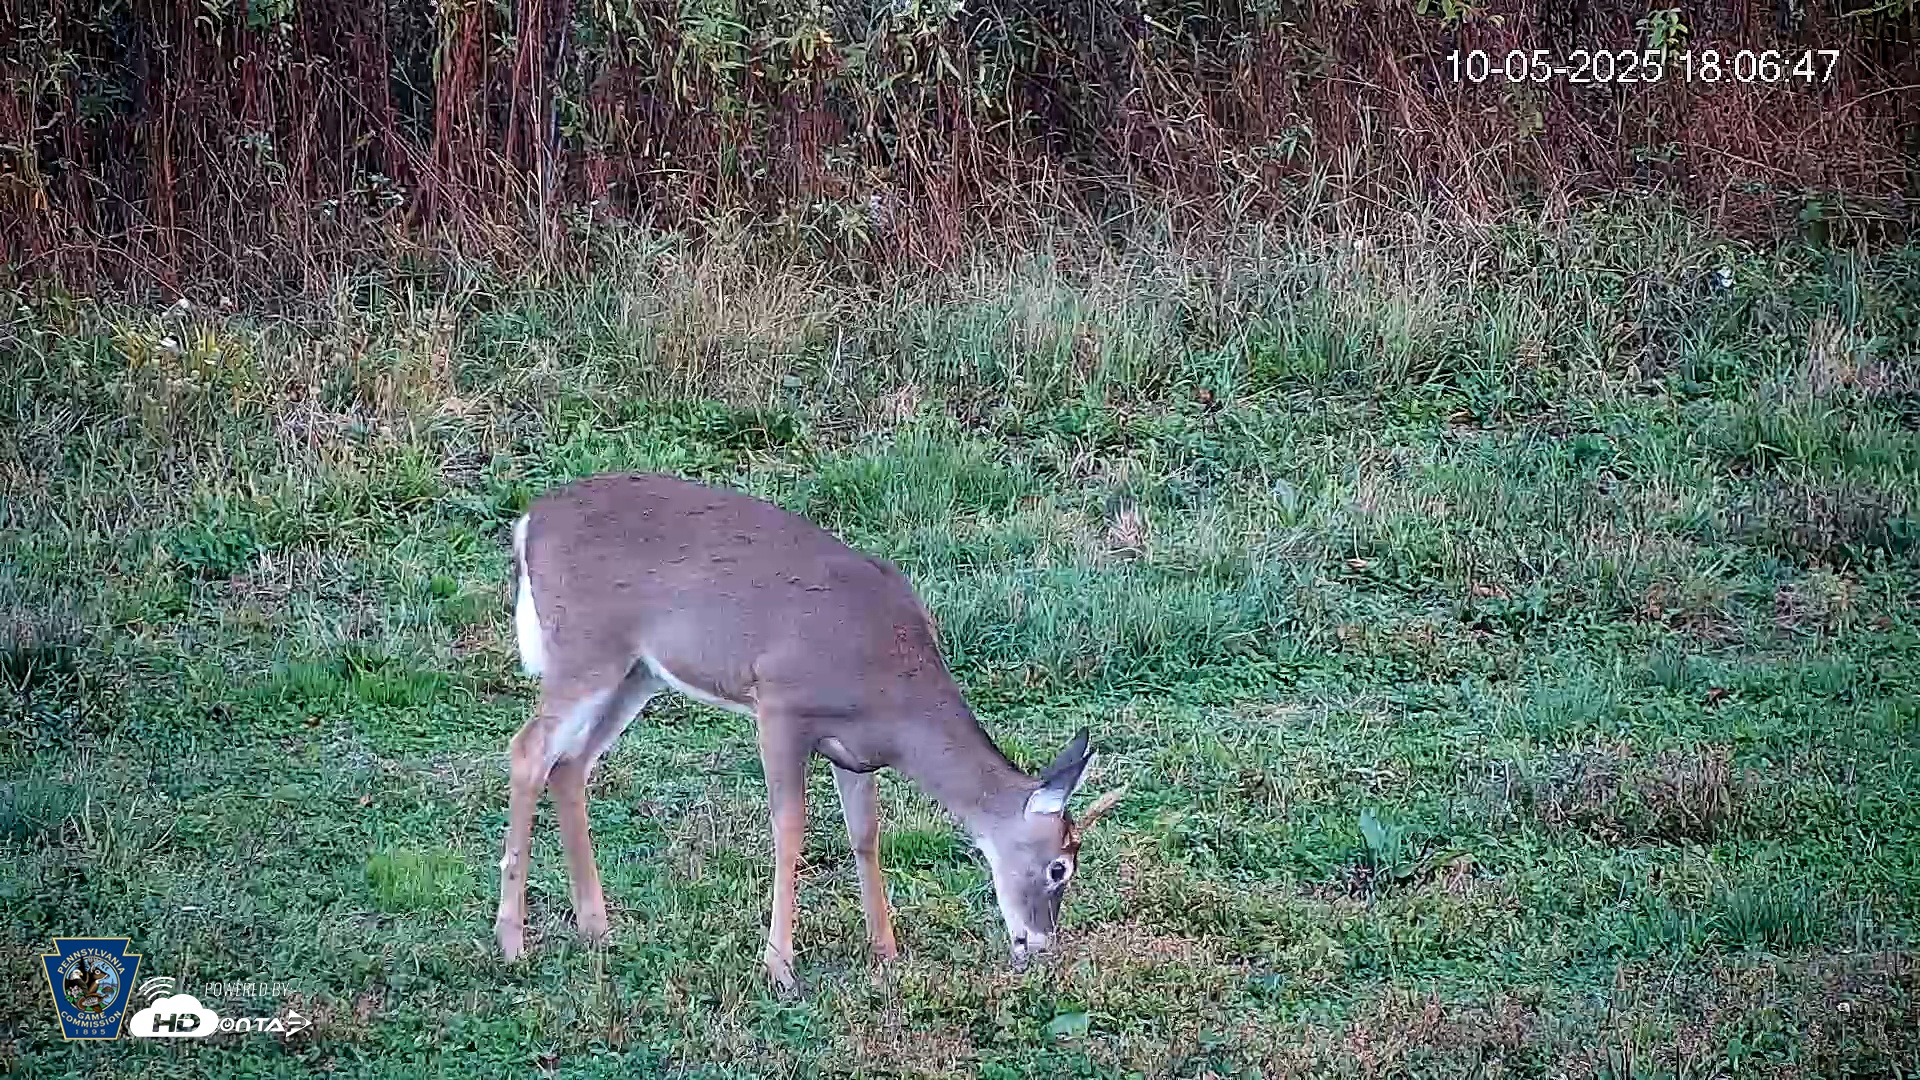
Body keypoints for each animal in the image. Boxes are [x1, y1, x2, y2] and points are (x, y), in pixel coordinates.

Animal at [494, 471, 1126, 991]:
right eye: (1059, 867)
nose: (1039, 944)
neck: (892, 692)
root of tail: (529, 523)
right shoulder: (779, 704)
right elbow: (790, 828)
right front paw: (779, 966)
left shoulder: (853, 752)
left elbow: (865, 834)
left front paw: (886, 951)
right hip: (587, 648)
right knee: (528, 750)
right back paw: (512, 944)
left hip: (637, 673)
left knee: (571, 764)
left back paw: (597, 929)